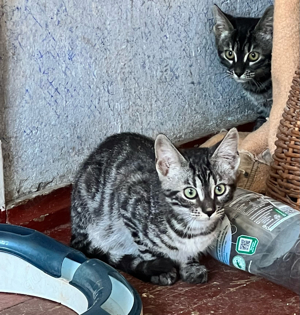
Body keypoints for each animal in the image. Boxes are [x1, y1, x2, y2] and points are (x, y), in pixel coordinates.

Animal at [70, 128, 239, 286]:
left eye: (219, 189)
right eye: (190, 192)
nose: (209, 210)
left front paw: (190, 265)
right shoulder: (127, 204)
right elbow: (146, 248)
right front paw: (161, 269)